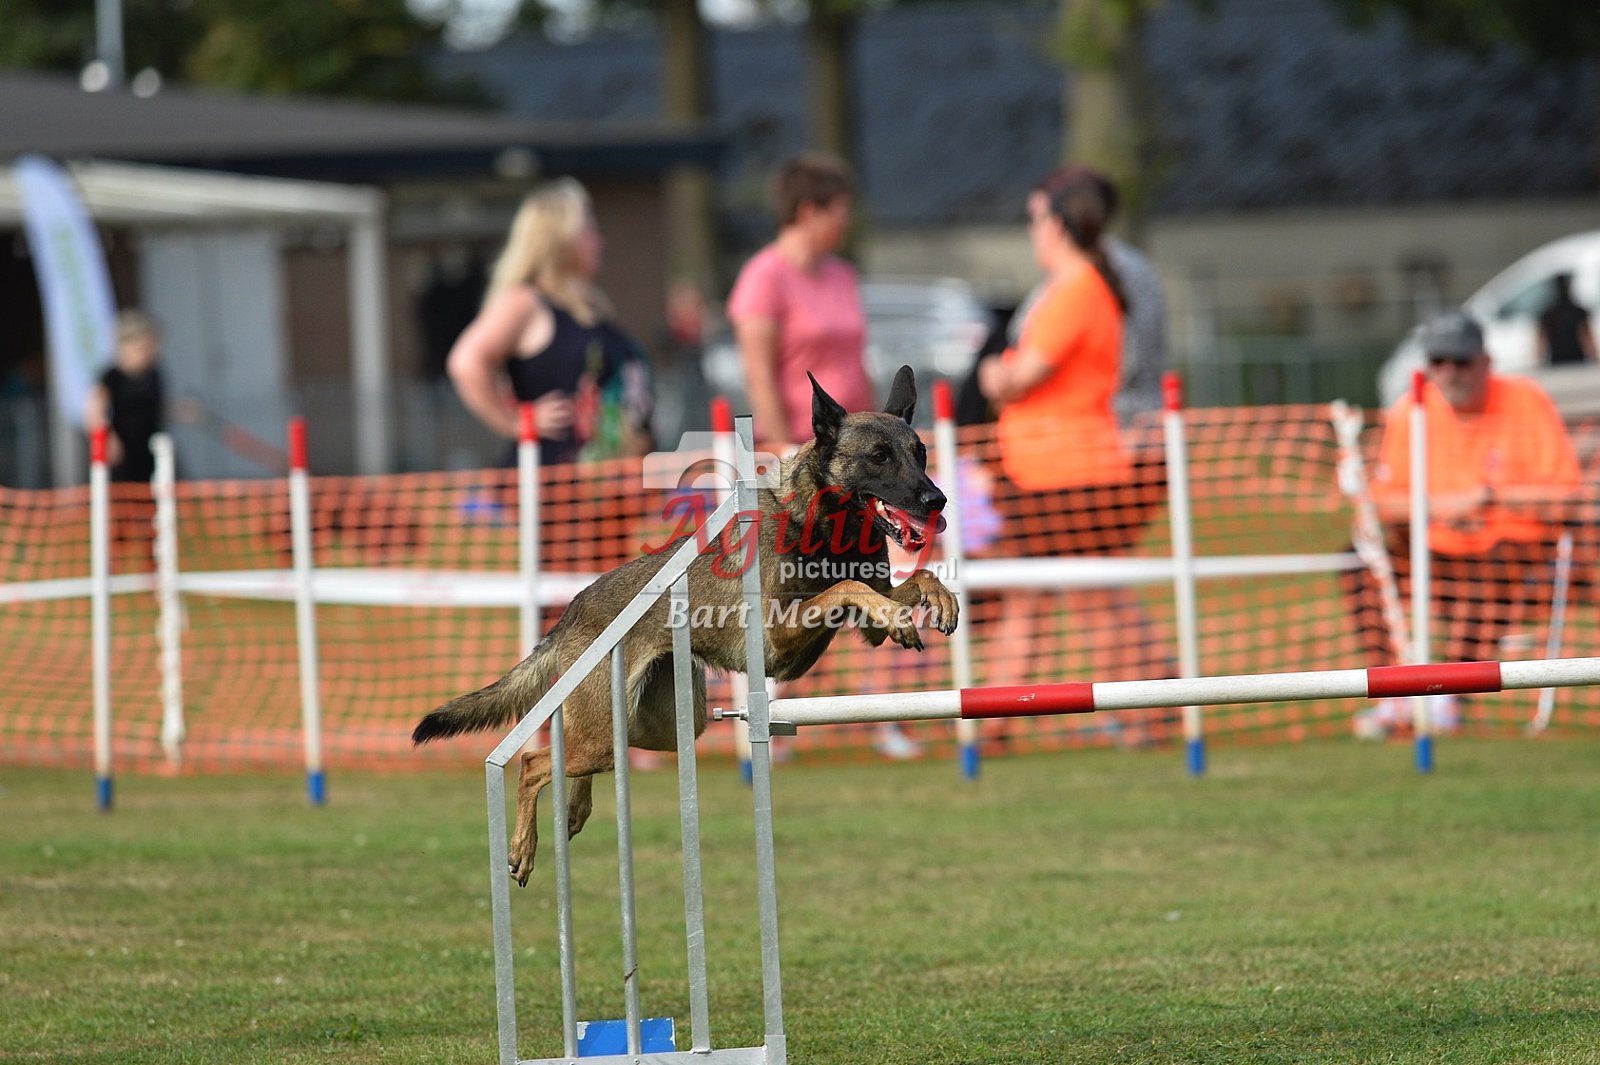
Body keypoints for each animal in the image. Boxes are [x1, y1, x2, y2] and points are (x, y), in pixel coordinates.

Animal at [412, 365, 959, 885]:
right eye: (879, 456)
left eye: (920, 453)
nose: (937, 501)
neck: (825, 522)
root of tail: (572, 611)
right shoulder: (778, 633)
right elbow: (848, 588)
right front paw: (902, 615)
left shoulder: (858, 626)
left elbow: (909, 580)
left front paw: (939, 600)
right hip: (611, 732)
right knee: (531, 763)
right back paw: (523, 849)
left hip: (660, 727)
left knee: (568, 750)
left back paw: (574, 806)